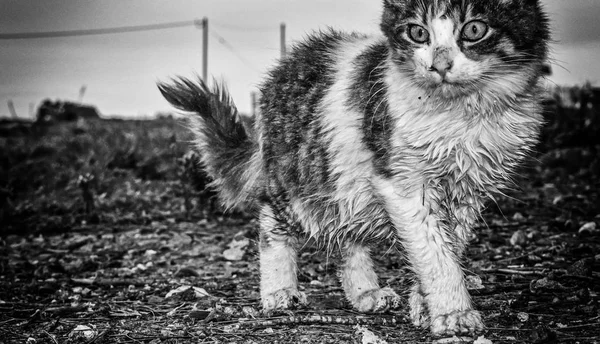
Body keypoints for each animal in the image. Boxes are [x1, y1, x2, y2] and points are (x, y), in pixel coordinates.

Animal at [158, 0, 548, 336]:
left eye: (474, 29)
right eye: (417, 33)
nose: (439, 65)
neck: (462, 116)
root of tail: (281, 69)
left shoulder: (469, 192)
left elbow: (448, 248)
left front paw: (424, 304)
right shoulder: (405, 185)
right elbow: (434, 254)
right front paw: (454, 313)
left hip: (346, 184)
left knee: (349, 239)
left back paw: (364, 294)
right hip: (297, 181)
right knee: (272, 226)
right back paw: (279, 291)